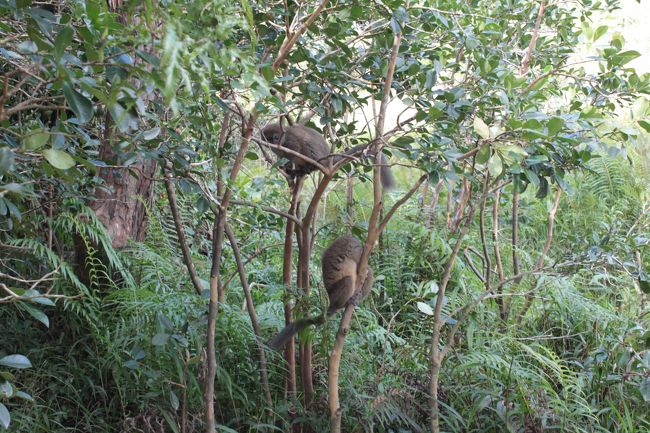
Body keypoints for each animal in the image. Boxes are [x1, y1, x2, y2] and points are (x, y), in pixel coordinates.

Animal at [261, 123, 396, 190]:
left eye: (276, 137)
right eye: (267, 138)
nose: (272, 142)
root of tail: (327, 157)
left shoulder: (290, 141)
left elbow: (297, 148)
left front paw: (289, 167)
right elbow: (283, 157)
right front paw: (284, 166)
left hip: (318, 158)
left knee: (307, 148)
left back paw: (305, 170)